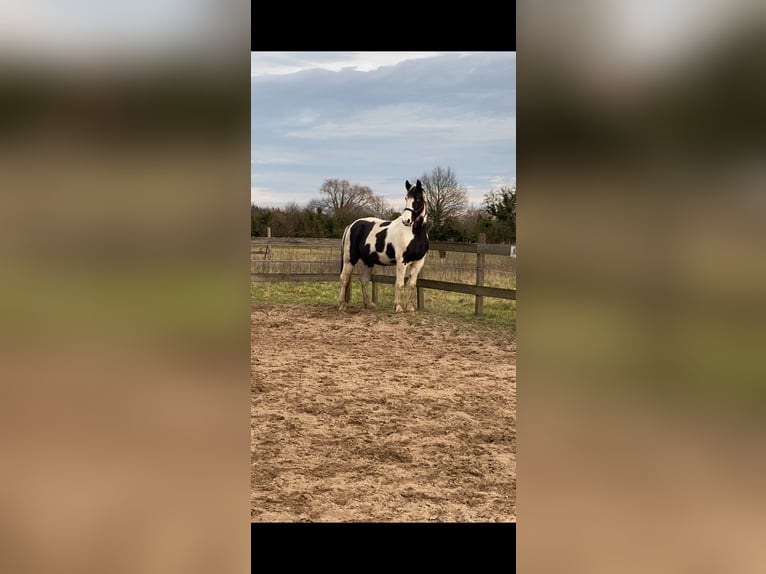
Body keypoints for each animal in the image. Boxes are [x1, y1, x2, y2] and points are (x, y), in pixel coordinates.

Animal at [336, 179, 429, 313]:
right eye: (406, 198)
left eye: (417, 199)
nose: (406, 220)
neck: (414, 234)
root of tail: (352, 225)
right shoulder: (401, 262)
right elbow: (400, 284)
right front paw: (398, 307)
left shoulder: (418, 263)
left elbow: (411, 285)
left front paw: (410, 308)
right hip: (349, 259)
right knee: (344, 278)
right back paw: (342, 304)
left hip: (368, 261)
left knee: (364, 280)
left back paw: (369, 304)